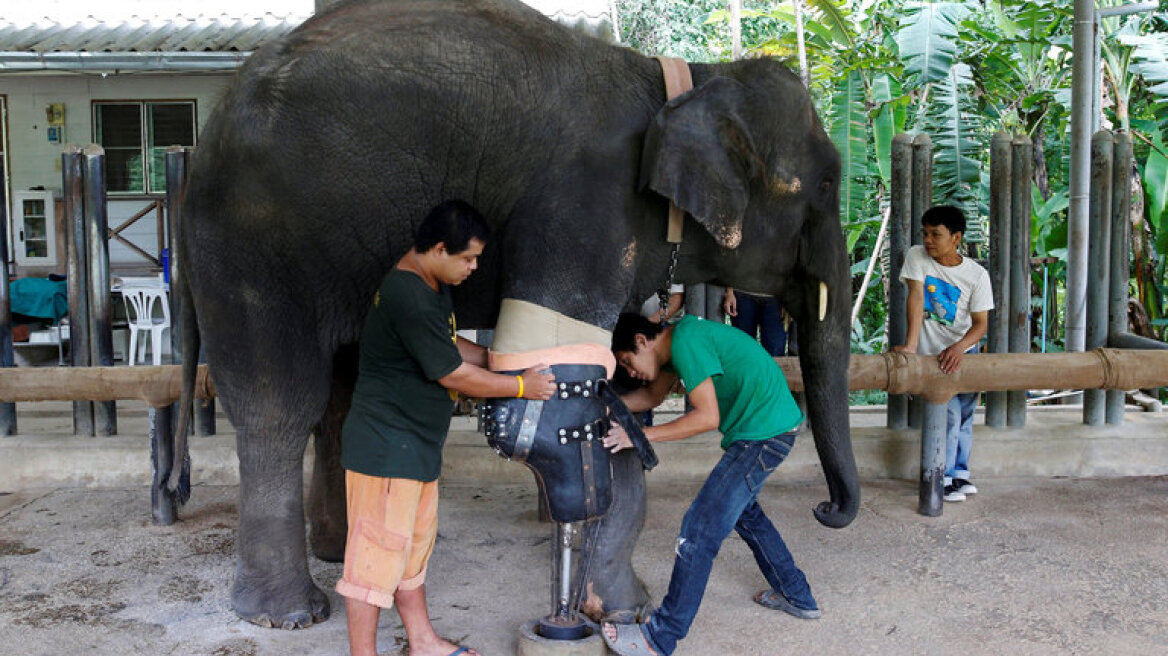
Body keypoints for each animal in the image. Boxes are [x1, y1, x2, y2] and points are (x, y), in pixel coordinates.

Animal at [172, 0, 864, 630]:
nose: (826, 512)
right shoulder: (583, 207)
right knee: (279, 403)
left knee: (340, 396)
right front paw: (617, 606)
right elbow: (572, 403)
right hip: (255, 248)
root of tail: (201, 147)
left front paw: (617, 607)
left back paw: (338, 554)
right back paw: (287, 613)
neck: (681, 79)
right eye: (828, 184)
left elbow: (607, 394)